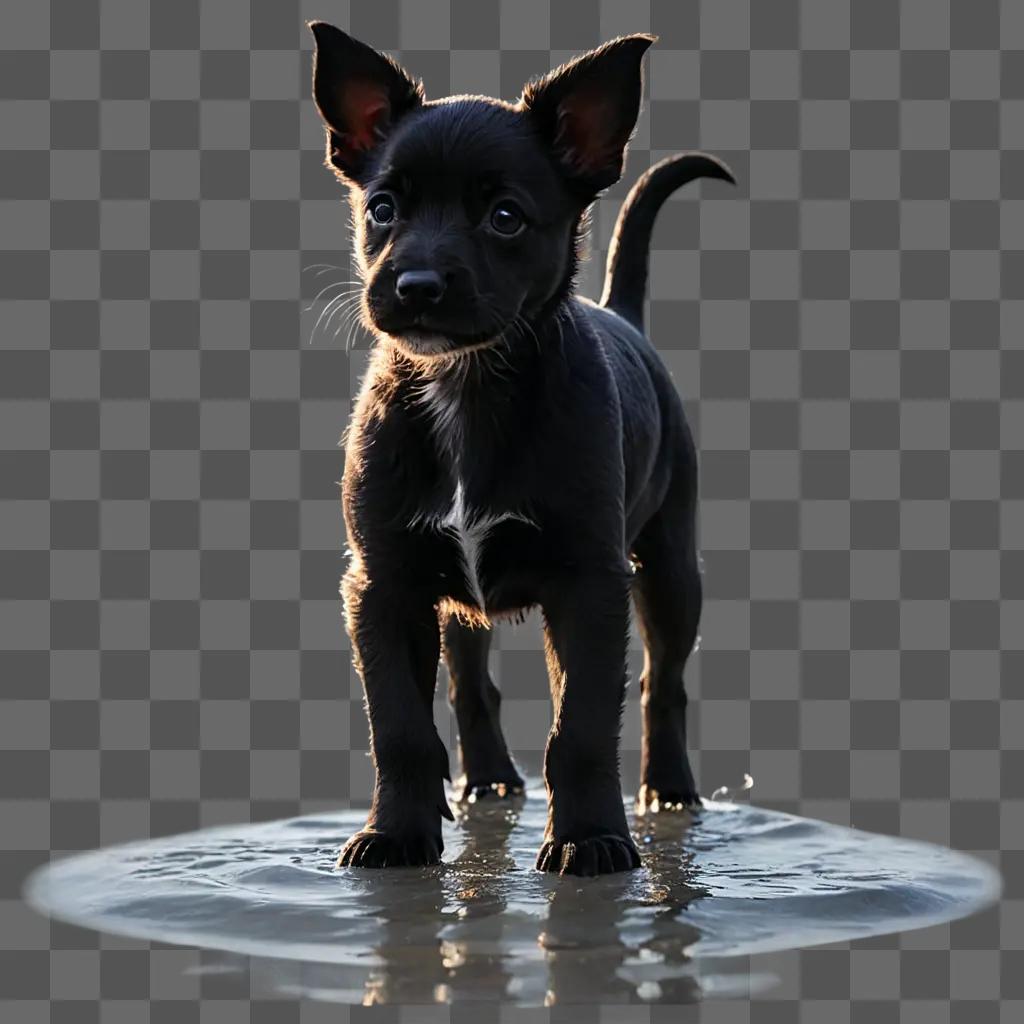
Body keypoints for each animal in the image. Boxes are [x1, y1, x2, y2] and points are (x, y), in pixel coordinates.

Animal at [307, 22, 733, 880]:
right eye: (382, 208)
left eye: (505, 217)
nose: (416, 284)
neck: (465, 386)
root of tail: (621, 312)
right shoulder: (382, 585)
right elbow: (400, 726)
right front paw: (396, 835)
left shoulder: (593, 586)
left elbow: (582, 728)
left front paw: (590, 839)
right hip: (452, 598)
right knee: (472, 683)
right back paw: (490, 780)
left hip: (670, 565)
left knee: (662, 683)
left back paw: (669, 792)